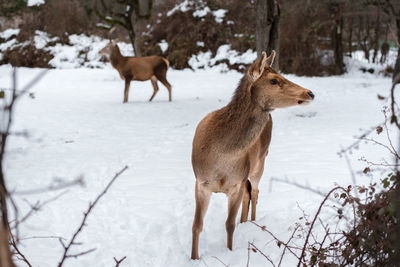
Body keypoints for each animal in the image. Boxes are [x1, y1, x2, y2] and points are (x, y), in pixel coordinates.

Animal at [191, 49, 316, 260]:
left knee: (255, 191)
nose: (310, 92)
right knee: (249, 193)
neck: (221, 157)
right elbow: (197, 225)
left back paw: (253, 222)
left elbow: (229, 224)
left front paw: (229, 252)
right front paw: (194, 257)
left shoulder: (236, 182)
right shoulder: (201, 182)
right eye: (274, 80)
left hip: (260, 162)